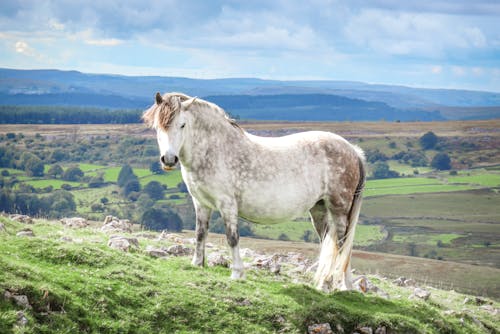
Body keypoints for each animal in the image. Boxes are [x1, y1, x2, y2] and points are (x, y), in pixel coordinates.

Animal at [143, 91, 366, 290]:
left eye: (182, 124)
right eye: (158, 127)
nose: (169, 159)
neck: (214, 150)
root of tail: (353, 151)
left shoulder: (227, 204)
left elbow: (232, 238)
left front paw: (237, 273)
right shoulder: (201, 204)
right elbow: (200, 234)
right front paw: (197, 264)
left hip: (339, 208)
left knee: (341, 243)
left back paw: (337, 285)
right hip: (318, 209)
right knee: (332, 243)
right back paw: (334, 285)